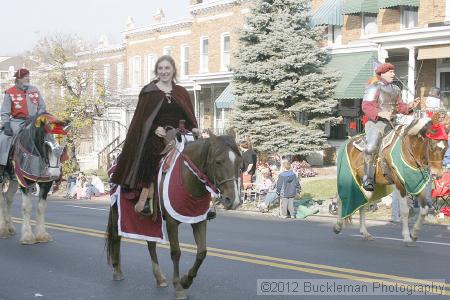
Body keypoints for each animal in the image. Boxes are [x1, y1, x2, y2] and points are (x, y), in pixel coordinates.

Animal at [105, 134, 241, 300]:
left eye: (240, 163)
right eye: (218, 162)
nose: (233, 201)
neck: (188, 178)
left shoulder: (199, 220)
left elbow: (202, 252)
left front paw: (186, 281)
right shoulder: (171, 222)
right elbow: (176, 253)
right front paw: (178, 287)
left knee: (151, 243)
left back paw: (159, 278)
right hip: (117, 210)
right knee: (116, 237)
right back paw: (117, 271)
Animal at [332, 116, 448, 245]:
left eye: (446, 147)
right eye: (432, 145)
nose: (437, 174)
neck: (408, 150)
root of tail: (347, 143)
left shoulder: (419, 185)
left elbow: (424, 210)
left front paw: (414, 234)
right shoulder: (400, 185)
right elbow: (405, 211)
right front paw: (407, 236)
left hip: (365, 185)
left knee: (363, 204)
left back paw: (365, 233)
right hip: (347, 179)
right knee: (341, 200)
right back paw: (338, 226)